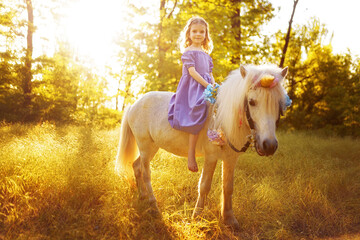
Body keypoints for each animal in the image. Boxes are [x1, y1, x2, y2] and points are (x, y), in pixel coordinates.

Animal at [115, 64, 290, 229]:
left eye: (279, 104)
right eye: (252, 102)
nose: (269, 145)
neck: (223, 118)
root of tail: (133, 105)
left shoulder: (230, 159)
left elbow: (228, 187)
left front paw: (229, 219)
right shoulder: (211, 157)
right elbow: (205, 186)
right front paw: (197, 217)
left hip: (152, 148)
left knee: (136, 166)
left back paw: (143, 197)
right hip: (145, 146)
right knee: (146, 173)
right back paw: (153, 206)